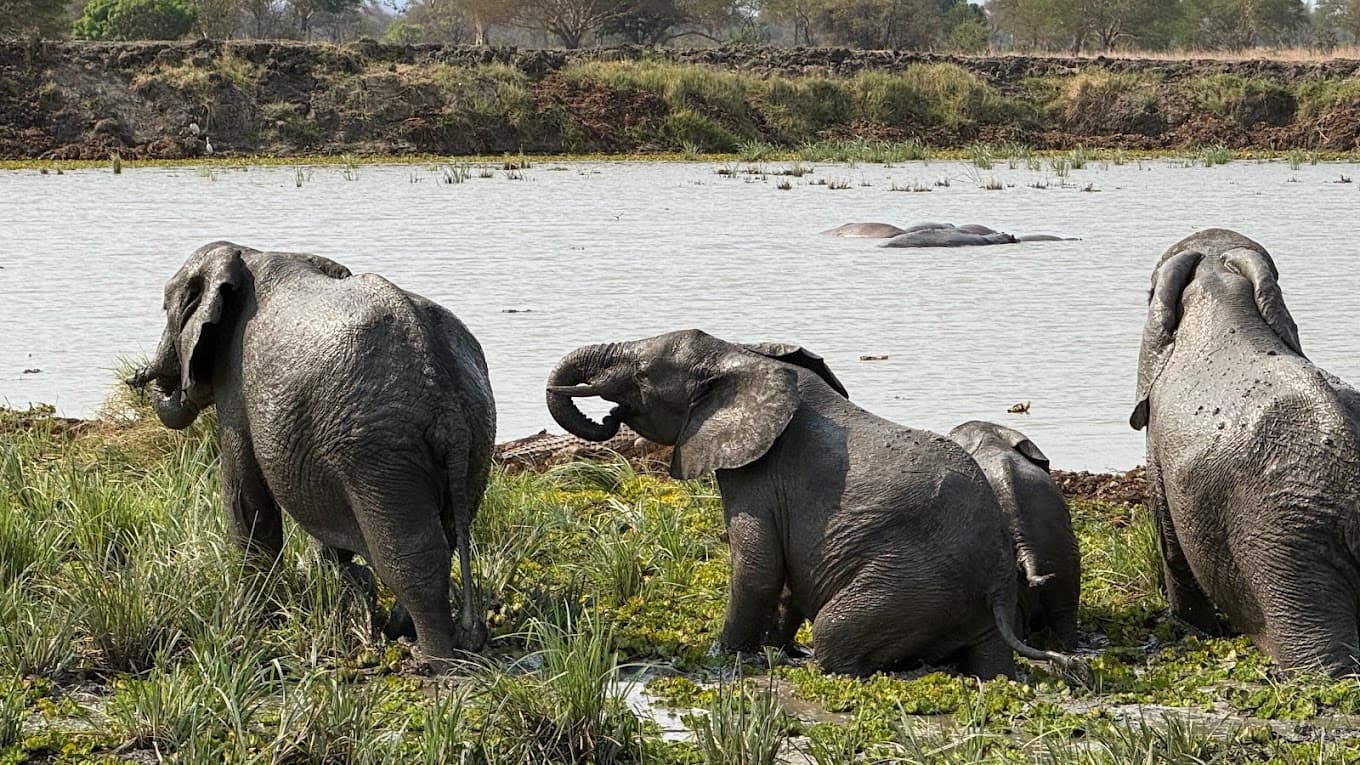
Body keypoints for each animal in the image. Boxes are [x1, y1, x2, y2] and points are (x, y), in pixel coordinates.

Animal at [128, 241, 496, 668]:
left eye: (168, 307)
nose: (138, 376)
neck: (248, 253)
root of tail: (445, 397)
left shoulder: (235, 379)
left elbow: (245, 496)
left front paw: (255, 620)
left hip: (379, 449)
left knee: (411, 555)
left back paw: (434, 660)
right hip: (474, 431)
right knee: (449, 530)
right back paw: (399, 631)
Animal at [1130, 227, 1360, 676]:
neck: (1218, 283)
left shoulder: (1156, 443)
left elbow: (1172, 546)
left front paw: (1195, 629)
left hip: (1285, 539)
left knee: (1323, 661)